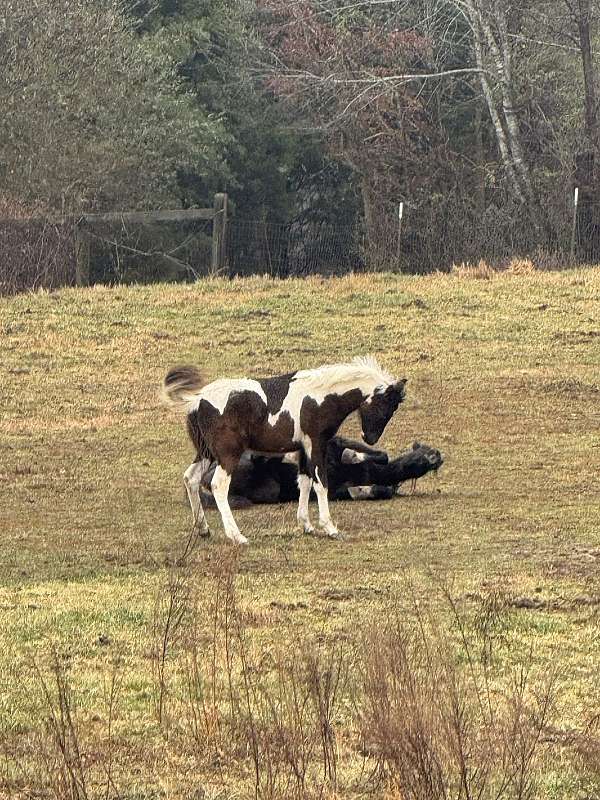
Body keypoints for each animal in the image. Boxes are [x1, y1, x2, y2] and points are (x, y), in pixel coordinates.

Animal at [163, 356, 408, 544]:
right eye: (387, 405)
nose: (370, 438)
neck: (319, 397)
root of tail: (197, 400)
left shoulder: (302, 449)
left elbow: (305, 482)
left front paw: (307, 525)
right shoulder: (316, 444)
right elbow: (321, 484)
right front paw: (330, 528)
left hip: (207, 453)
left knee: (191, 479)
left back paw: (204, 530)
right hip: (227, 455)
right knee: (218, 485)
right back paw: (237, 536)